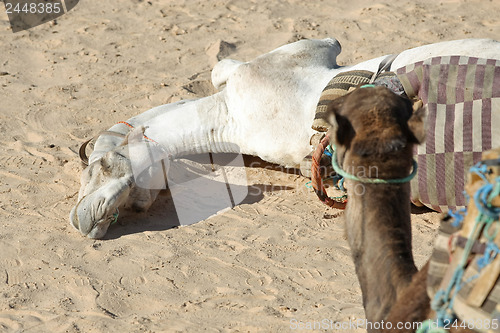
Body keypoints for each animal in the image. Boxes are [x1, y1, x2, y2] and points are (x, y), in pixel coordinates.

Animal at [70, 37, 500, 237]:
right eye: (135, 202)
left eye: (102, 165)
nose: (90, 220)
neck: (228, 115)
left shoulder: (303, 52)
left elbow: (219, 69)